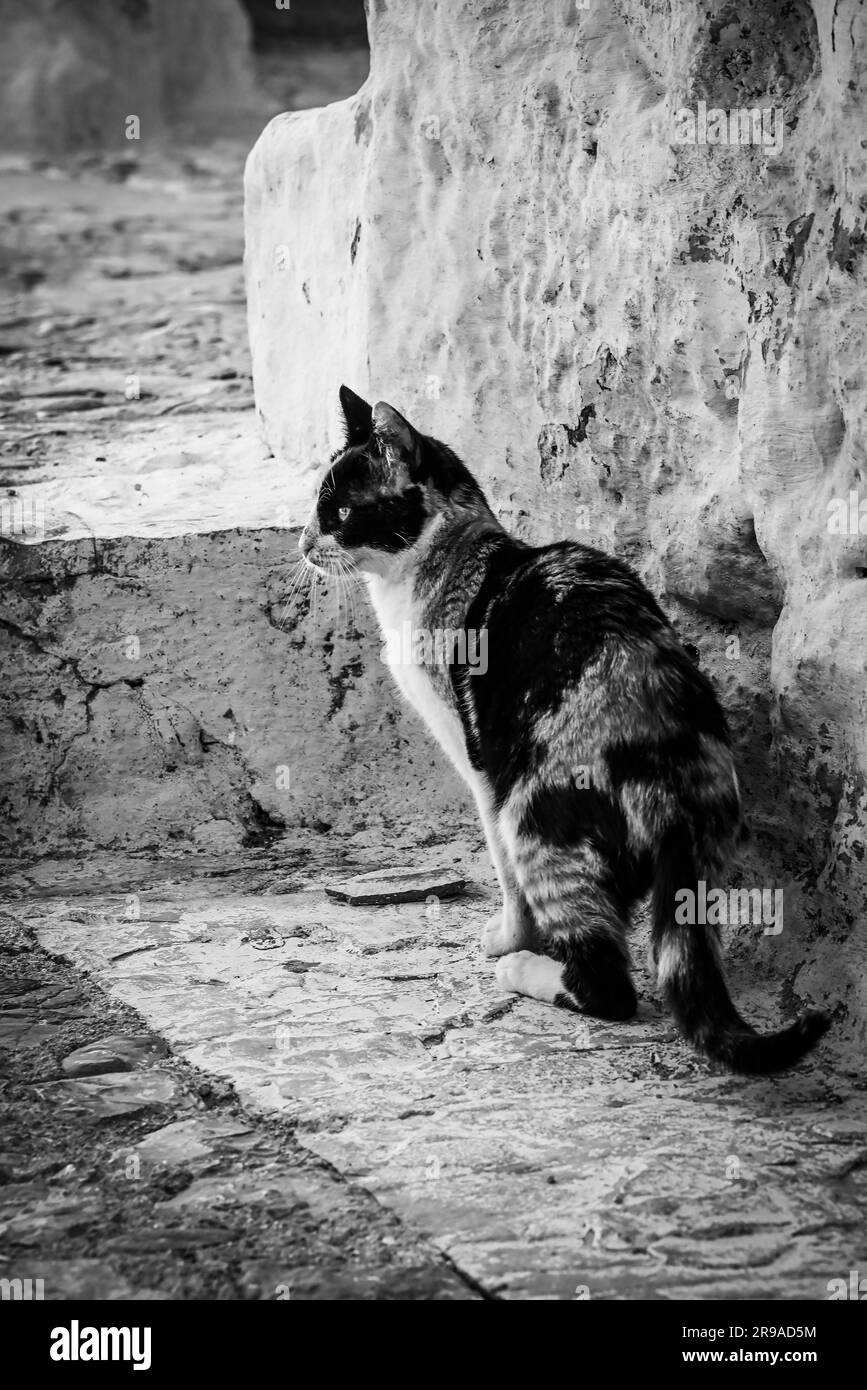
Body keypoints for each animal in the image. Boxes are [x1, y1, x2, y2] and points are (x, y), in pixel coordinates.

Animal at [300, 386, 833, 1067]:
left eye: (339, 511)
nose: (303, 542)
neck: (450, 558)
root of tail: (666, 771)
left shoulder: (478, 760)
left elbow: (500, 868)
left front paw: (508, 937)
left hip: (534, 817)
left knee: (608, 986)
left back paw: (524, 969)